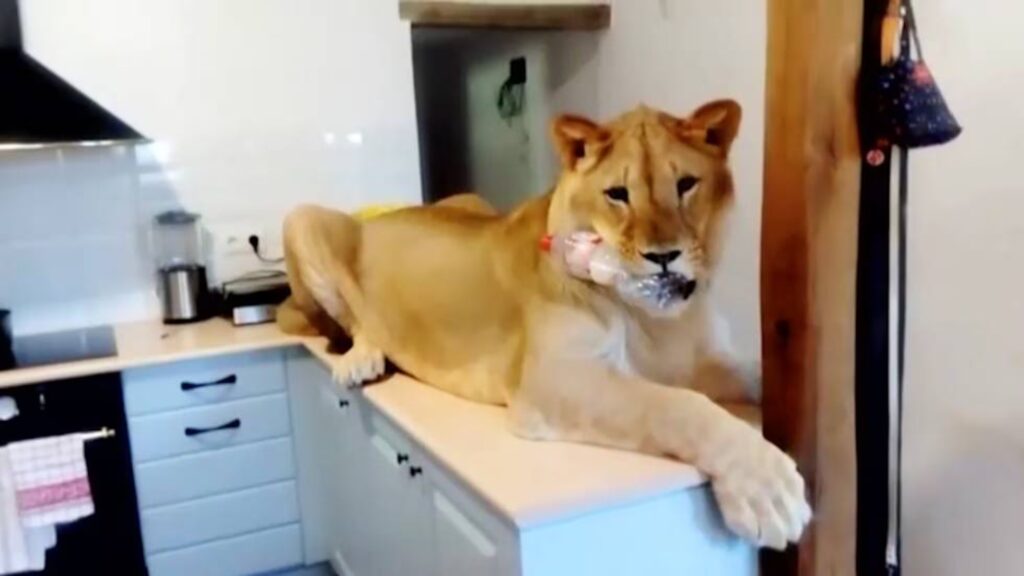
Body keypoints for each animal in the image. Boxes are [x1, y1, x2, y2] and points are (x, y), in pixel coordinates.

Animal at [278, 100, 811, 549]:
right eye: (617, 194)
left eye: (686, 185)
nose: (663, 257)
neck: (653, 319)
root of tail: (380, 213)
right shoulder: (553, 381)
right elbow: (678, 407)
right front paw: (769, 491)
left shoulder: (700, 362)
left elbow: (750, 376)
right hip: (304, 218)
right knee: (349, 323)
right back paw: (361, 361)